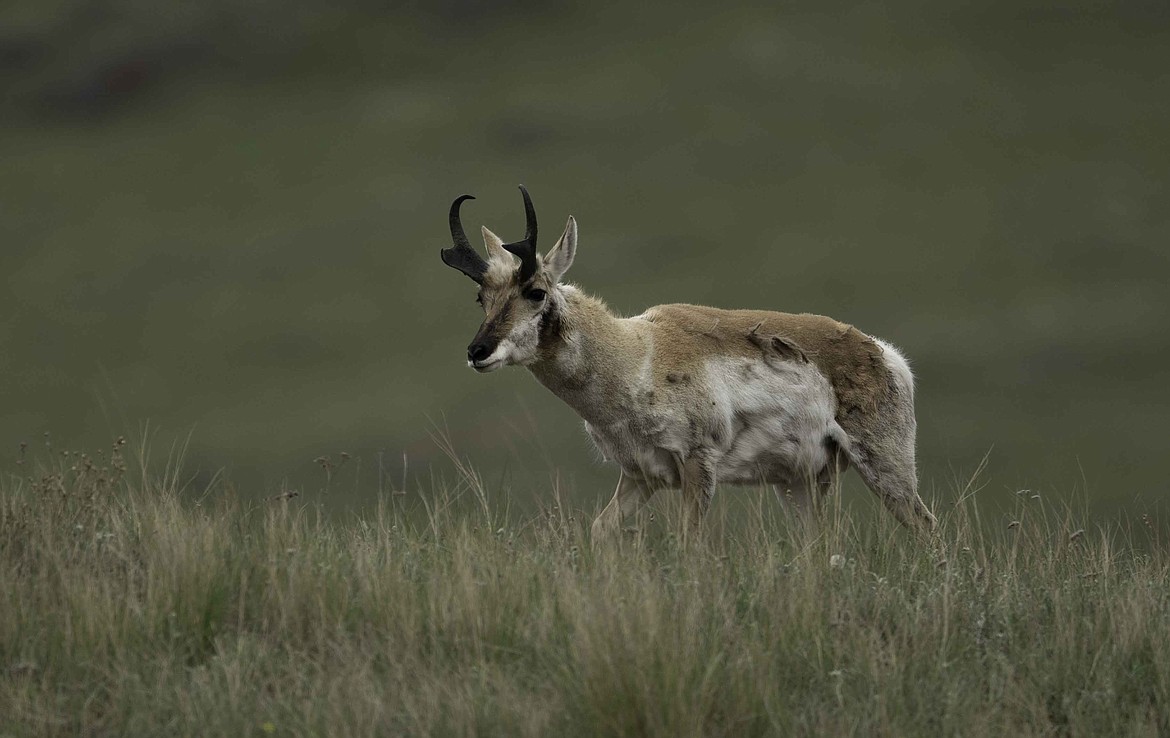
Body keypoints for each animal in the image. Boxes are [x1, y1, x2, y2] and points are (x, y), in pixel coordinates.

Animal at [442, 185, 935, 542]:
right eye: (482, 296)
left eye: (536, 292)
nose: (477, 352)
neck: (637, 355)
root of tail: (881, 352)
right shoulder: (640, 476)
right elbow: (600, 530)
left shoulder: (699, 465)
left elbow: (688, 543)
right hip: (799, 484)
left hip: (886, 468)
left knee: (926, 528)